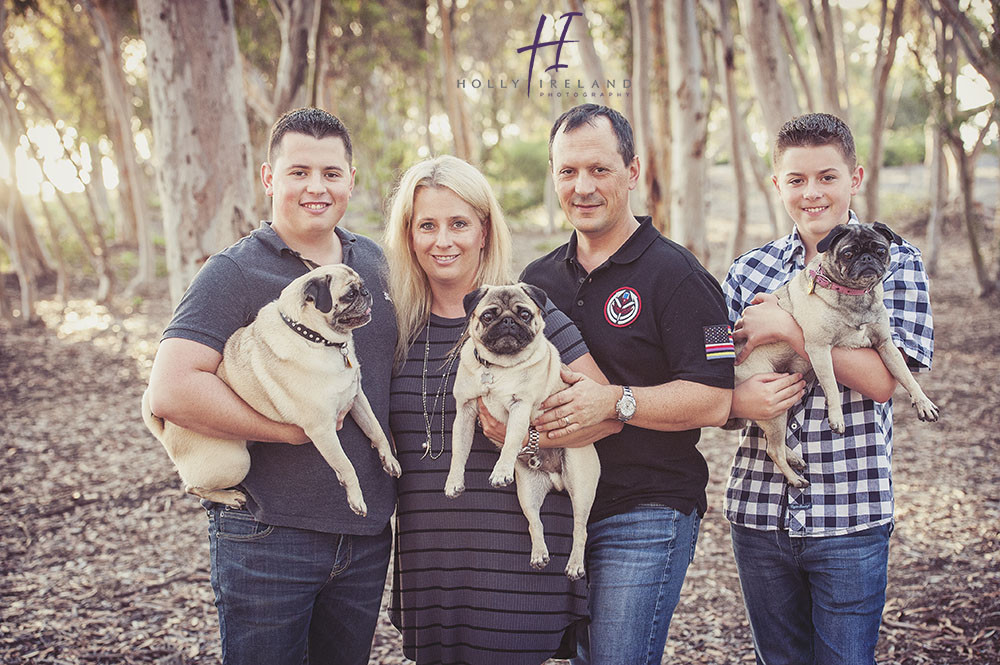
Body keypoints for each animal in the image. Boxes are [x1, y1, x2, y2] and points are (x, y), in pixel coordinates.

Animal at [141, 262, 398, 516]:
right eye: (350, 295)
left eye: (361, 286)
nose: (366, 292)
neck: (316, 338)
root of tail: (166, 432)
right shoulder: (322, 430)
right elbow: (346, 466)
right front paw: (356, 499)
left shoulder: (356, 398)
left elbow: (376, 430)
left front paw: (389, 459)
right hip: (235, 463)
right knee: (191, 487)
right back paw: (231, 497)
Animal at [448, 282, 600, 580]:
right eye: (488, 316)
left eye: (525, 314)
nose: (508, 321)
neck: (499, 367)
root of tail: (556, 478)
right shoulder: (465, 410)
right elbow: (459, 451)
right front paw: (454, 482)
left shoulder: (520, 408)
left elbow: (509, 443)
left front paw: (500, 472)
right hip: (527, 492)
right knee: (535, 522)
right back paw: (539, 554)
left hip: (580, 482)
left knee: (580, 528)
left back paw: (575, 565)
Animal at [732, 223, 940, 488]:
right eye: (848, 253)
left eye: (880, 250)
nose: (867, 259)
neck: (855, 294)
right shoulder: (820, 348)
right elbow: (830, 385)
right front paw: (837, 418)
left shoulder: (886, 346)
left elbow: (907, 377)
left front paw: (923, 402)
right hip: (772, 400)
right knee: (773, 449)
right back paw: (795, 479)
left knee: (770, 440)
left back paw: (794, 459)